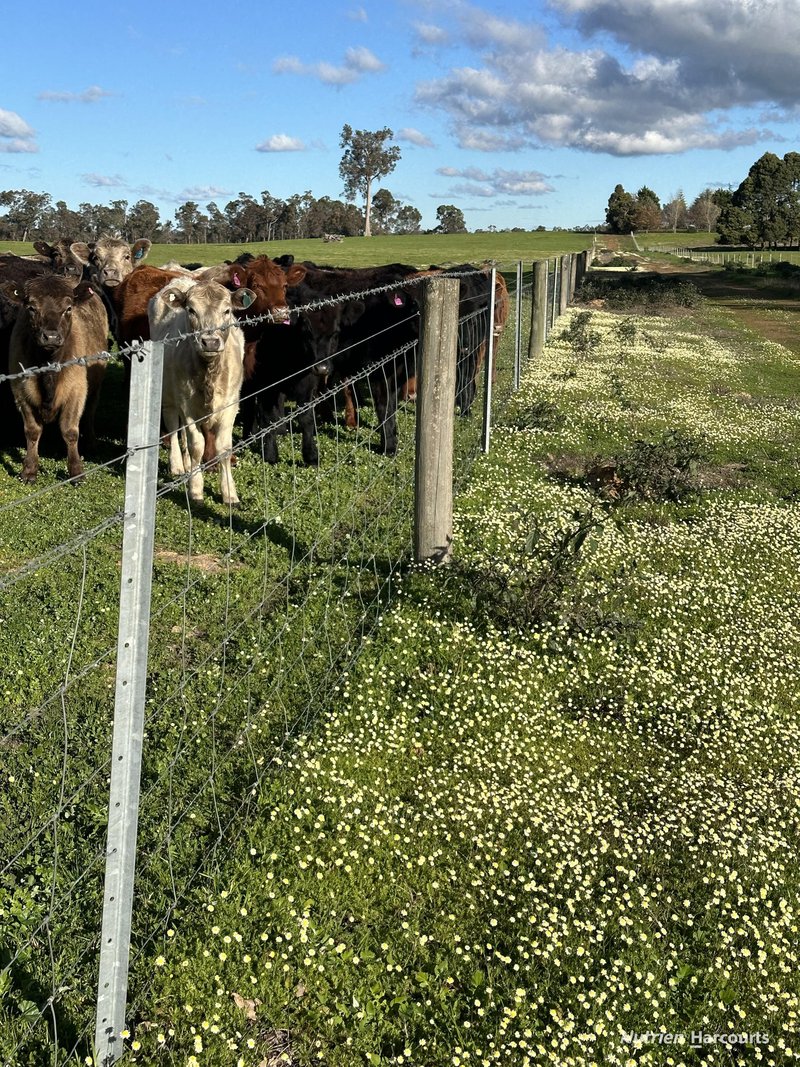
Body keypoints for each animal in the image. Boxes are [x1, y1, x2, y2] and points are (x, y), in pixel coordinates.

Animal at [0, 275, 108, 484]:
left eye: (68, 308)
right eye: (31, 308)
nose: (50, 336)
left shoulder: (77, 390)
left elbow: (70, 431)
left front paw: (76, 471)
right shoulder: (21, 393)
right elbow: (32, 431)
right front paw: (29, 470)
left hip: (96, 384)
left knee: (90, 413)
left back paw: (91, 443)